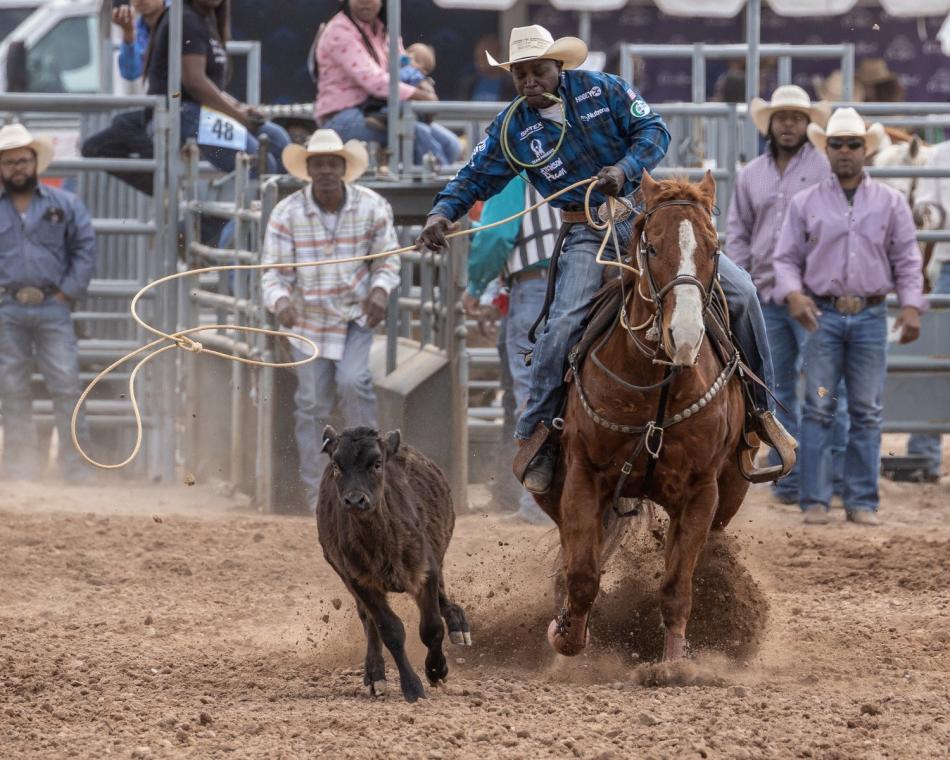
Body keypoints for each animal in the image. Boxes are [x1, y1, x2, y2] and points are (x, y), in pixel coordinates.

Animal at [540, 171, 756, 660]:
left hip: (732, 491)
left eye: (714, 248)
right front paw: (566, 633)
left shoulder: (701, 492)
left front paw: (675, 661)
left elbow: (676, 587)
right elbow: (583, 575)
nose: (686, 335)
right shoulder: (583, 476)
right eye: (653, 248)